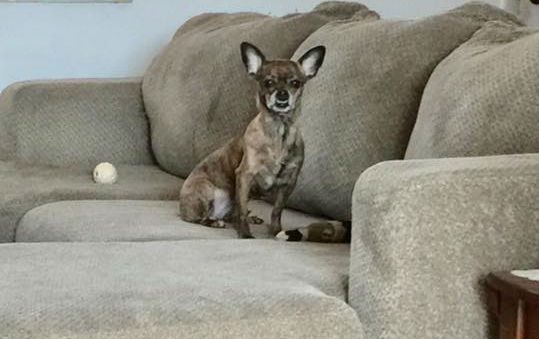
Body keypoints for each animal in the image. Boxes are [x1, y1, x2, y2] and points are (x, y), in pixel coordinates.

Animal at [180, 41, 324, 239]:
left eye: (296, 83)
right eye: (268, 82)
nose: (282, 94)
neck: (279, 130)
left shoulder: (288, 183)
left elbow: (276, 211)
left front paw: (276, 232)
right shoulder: (245, 176)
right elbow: (241, 209)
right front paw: (245, 235)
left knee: (232, 215)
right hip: (206, 189)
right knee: (203, 218)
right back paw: (214, 221)